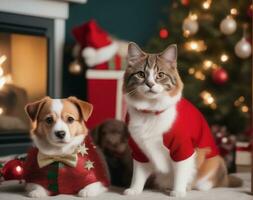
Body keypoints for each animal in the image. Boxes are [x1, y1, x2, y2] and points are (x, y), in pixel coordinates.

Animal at [122, 42, 241, 197]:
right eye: (141, 74)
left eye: (160, 75)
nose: (150, 84)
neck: (151, 111)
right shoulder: (138, 149)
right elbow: (138, 174)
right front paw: (135, 189)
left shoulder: (183, 148)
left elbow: (181, 172)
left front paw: (178, 191)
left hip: (214, 161)